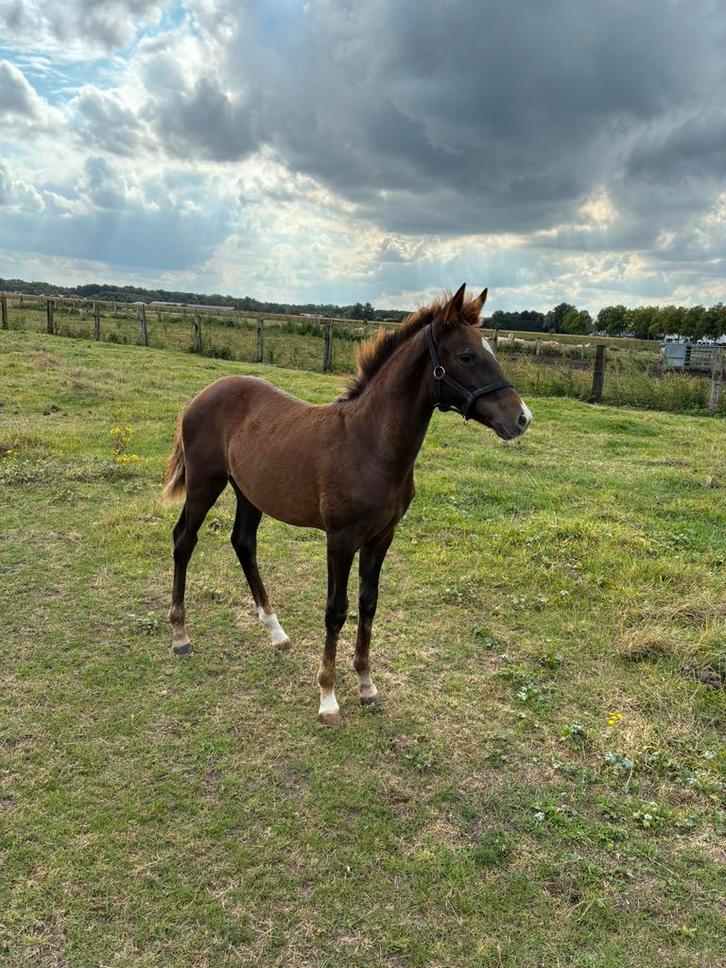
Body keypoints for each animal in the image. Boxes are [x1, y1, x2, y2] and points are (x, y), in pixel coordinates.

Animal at [162, 284, 531, 724]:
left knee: (243, 543)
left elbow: (368, 604)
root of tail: (199, 396)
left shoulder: (382, 536)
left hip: (248, 491)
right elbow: (335, 610)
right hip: (206, 483)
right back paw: (180, 635)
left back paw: (276, 632)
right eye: (467, 355)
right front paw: (327, 697)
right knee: (184, 540)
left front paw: (367, 686)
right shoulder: (340, 539)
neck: (369, 443)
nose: (522, 418)